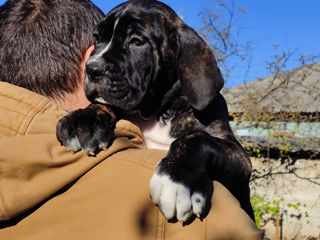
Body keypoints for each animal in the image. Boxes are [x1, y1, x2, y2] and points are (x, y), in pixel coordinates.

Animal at [55, 0, 255, 222]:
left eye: (136, 41)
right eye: (97, 38)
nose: (92, 68)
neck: (159, 113)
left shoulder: (239, 156)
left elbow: (196, 138)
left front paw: (176, 180)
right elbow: (106, 104)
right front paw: (84, 119)